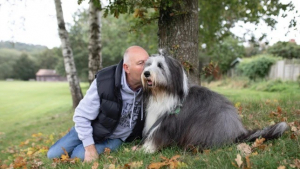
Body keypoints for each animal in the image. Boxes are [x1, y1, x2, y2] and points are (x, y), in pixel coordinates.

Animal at [140, 50, 288, 153]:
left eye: (160, 66)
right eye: (148, 65)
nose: (146, 73)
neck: (163, 92)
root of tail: (237, 133)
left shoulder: (168, 122)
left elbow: (157, 136)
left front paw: (146, 149)